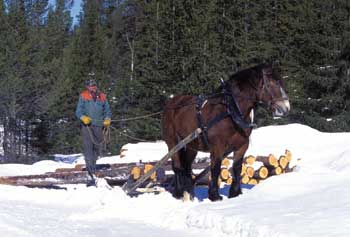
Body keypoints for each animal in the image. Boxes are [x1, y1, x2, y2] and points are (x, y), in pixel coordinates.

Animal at [161, 62, 290, 200]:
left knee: (186, 167)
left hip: (191, 146)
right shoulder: (217, 148)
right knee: (177, 166)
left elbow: (237, 168)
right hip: (173, 143)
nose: (285, 108)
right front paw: (214, 196)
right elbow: (216, 168)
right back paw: (179, 193)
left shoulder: (242, 146)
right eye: (272, 83)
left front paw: (235, 193)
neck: (231, 112)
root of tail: (172, 103)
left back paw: (189, 193)